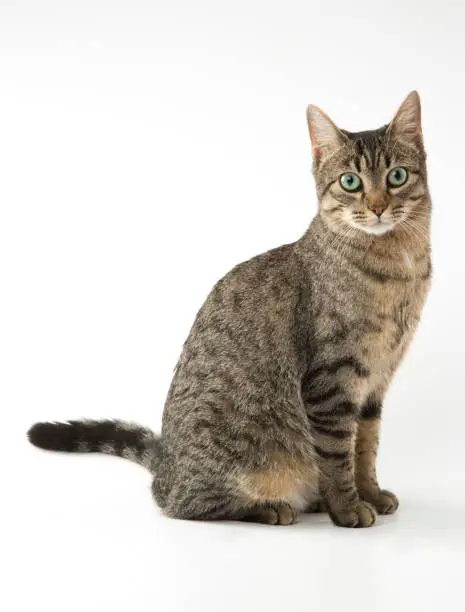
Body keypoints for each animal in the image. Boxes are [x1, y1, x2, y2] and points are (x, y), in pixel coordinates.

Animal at [28, 91, 432, 524]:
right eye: (350, 182)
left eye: (397, 177)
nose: (377, 207)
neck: (399, 266)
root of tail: (167, 468)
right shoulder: (333, 381)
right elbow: (339, 455)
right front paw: (348, 507)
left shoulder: (376, 380)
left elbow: (366, 447)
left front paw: (369, 493)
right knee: (186, 505)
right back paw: (272, 508)